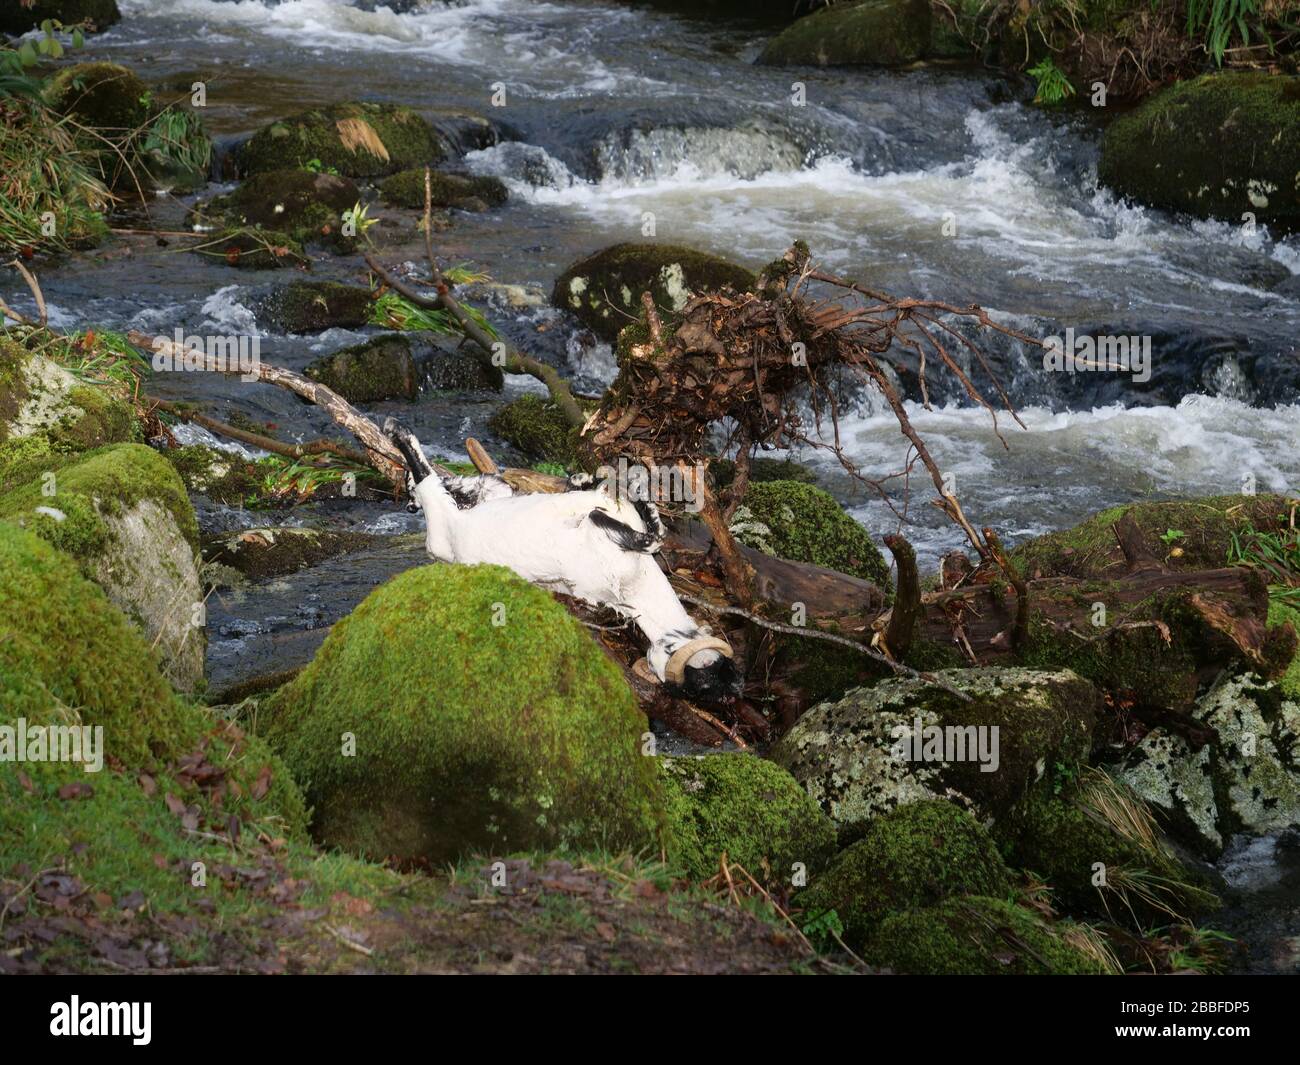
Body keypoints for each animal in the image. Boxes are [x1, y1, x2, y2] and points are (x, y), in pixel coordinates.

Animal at [384, 418, 742, 704]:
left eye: (704, 688)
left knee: (447, 482)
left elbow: (650, 533)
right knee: (444, 479)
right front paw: (599, 486)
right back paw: (398, 440)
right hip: (466, 510)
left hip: (456, 517)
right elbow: (647, 526)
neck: (635, 583)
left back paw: (402, 447)